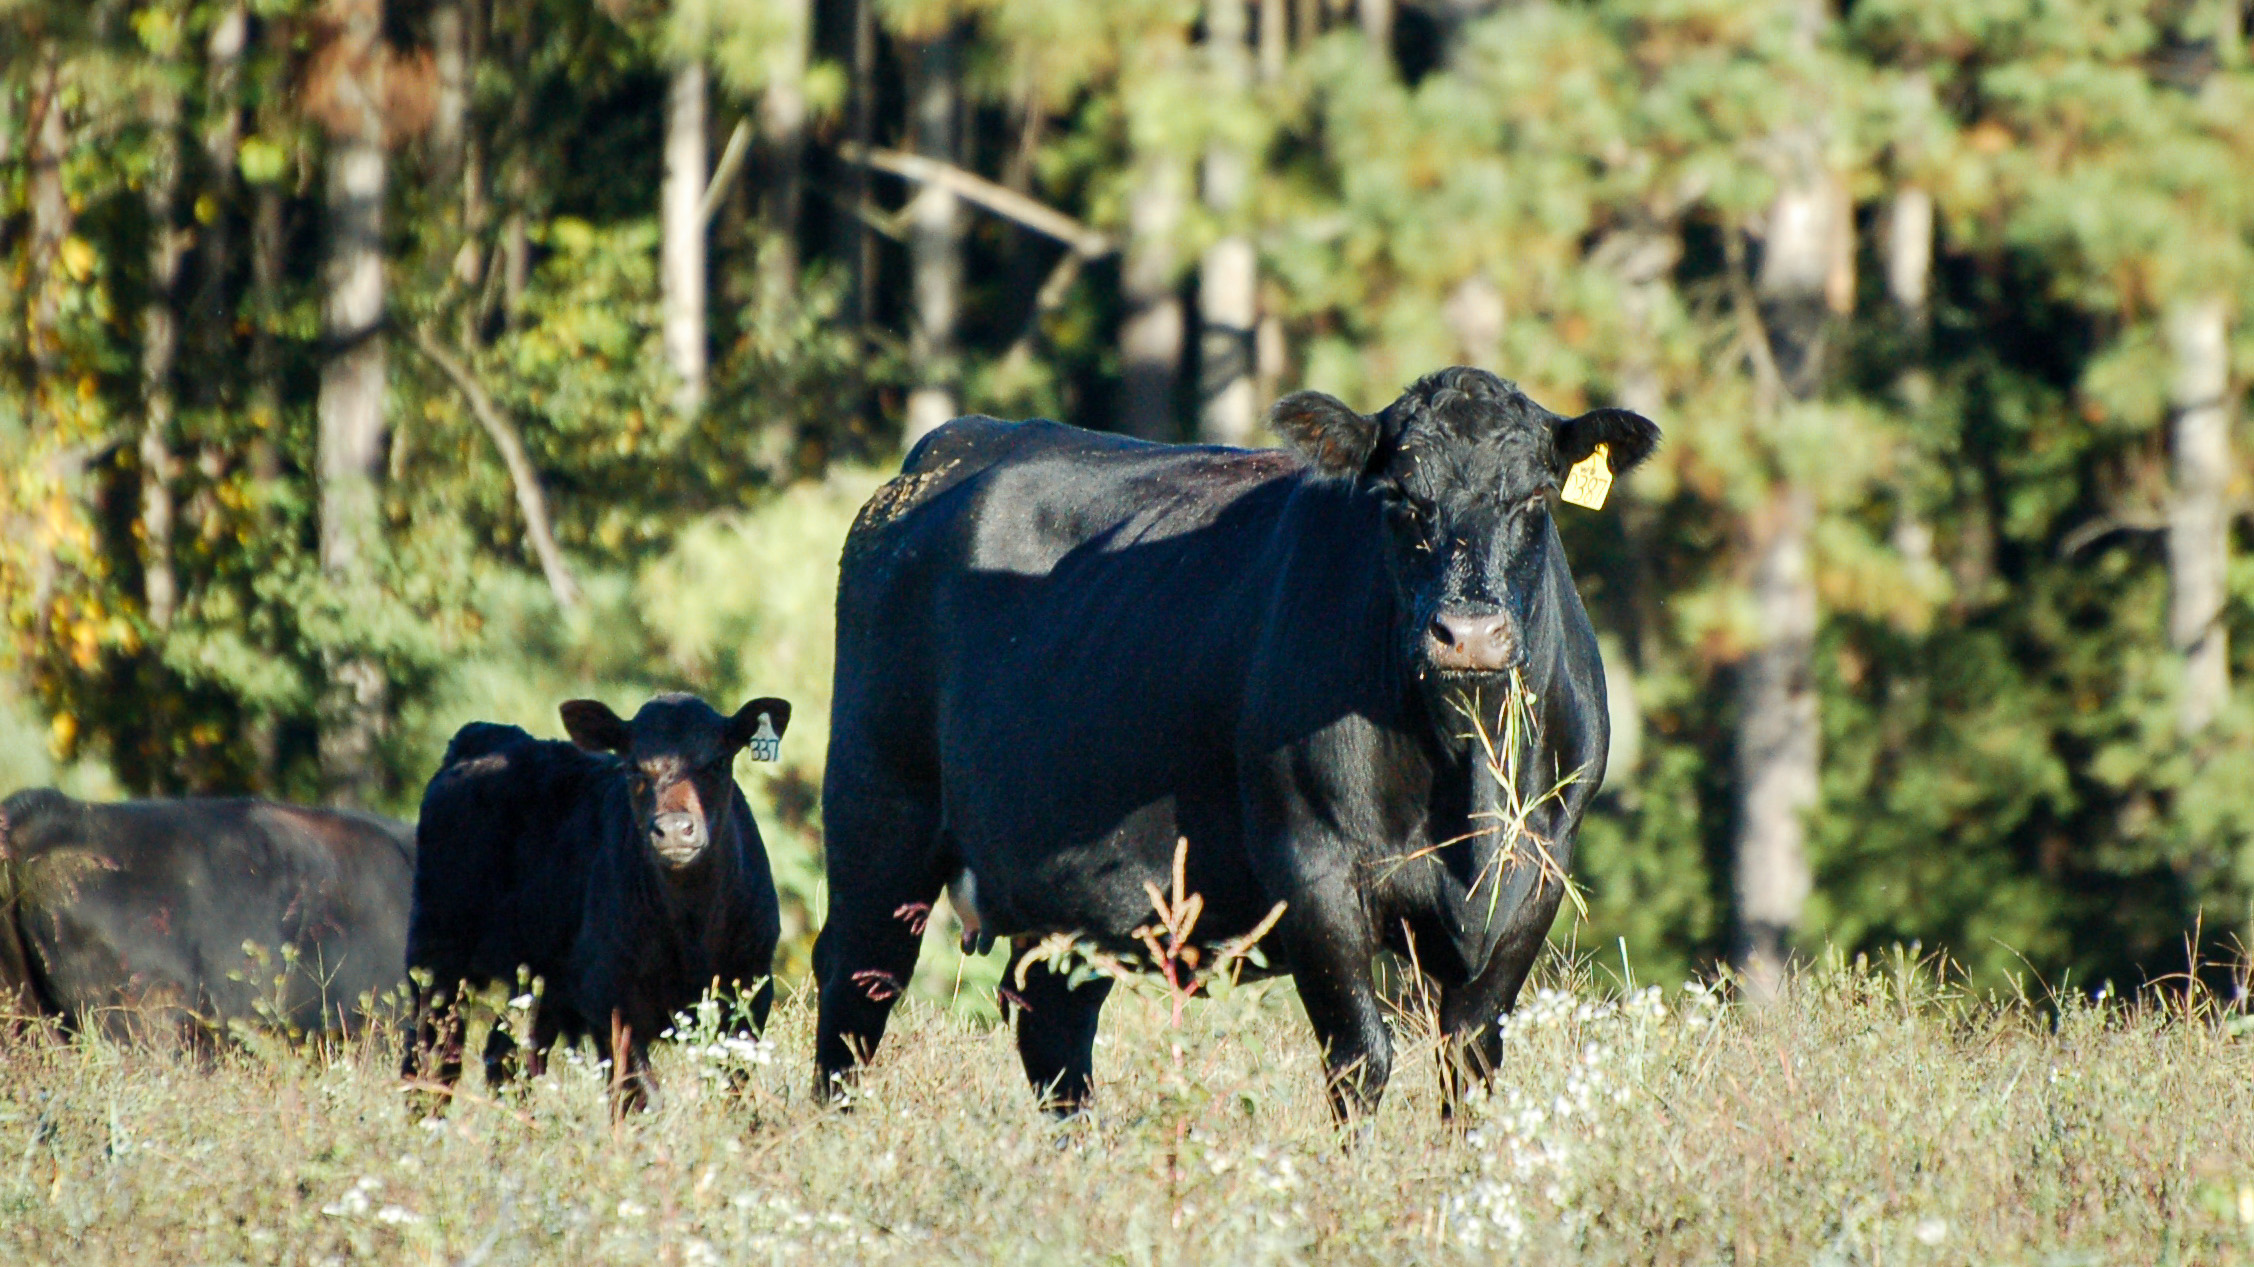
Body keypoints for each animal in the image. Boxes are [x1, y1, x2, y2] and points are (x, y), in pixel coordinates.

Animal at [405, 689, 793, 1104]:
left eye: (717, 761)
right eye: (633, 768)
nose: (674, 829)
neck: (691, 928)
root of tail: (485, 736)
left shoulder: (752, 987)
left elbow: (732, 1086)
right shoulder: (609, 996)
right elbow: (640, 1094)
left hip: (539, 977)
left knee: (506, 1055)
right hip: (436, 953)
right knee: (431, 1055)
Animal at [815, 362, 1658, 1113]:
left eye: (1538, 494)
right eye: (1399, 496)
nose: (1469, 634)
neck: (1464, 768)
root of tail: (954, 445)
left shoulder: (1537, 877)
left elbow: (1471, 1059)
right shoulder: (1311, 869)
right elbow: (1360, 1057)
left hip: (1056, 882)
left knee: (1051, 1021)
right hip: (878, 812)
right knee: (856, 983)